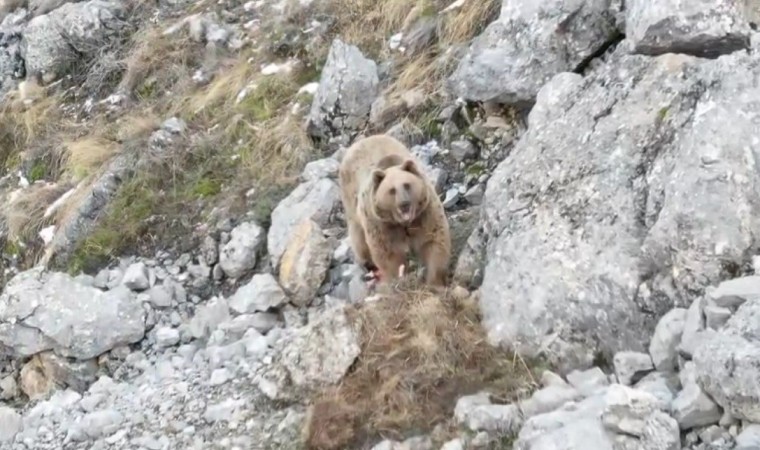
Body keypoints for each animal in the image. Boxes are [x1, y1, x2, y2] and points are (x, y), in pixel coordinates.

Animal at [338, 133, 452, 284]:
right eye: (392, 190)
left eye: (407, 185)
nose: (404, 204)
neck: (404, 223)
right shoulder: (381, 224)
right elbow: (388, 253)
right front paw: (399, 278)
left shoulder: (425, 213)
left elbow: (435, 240)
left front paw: (434, 280)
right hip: (351, 200)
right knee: (359, 236)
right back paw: (367, 263)